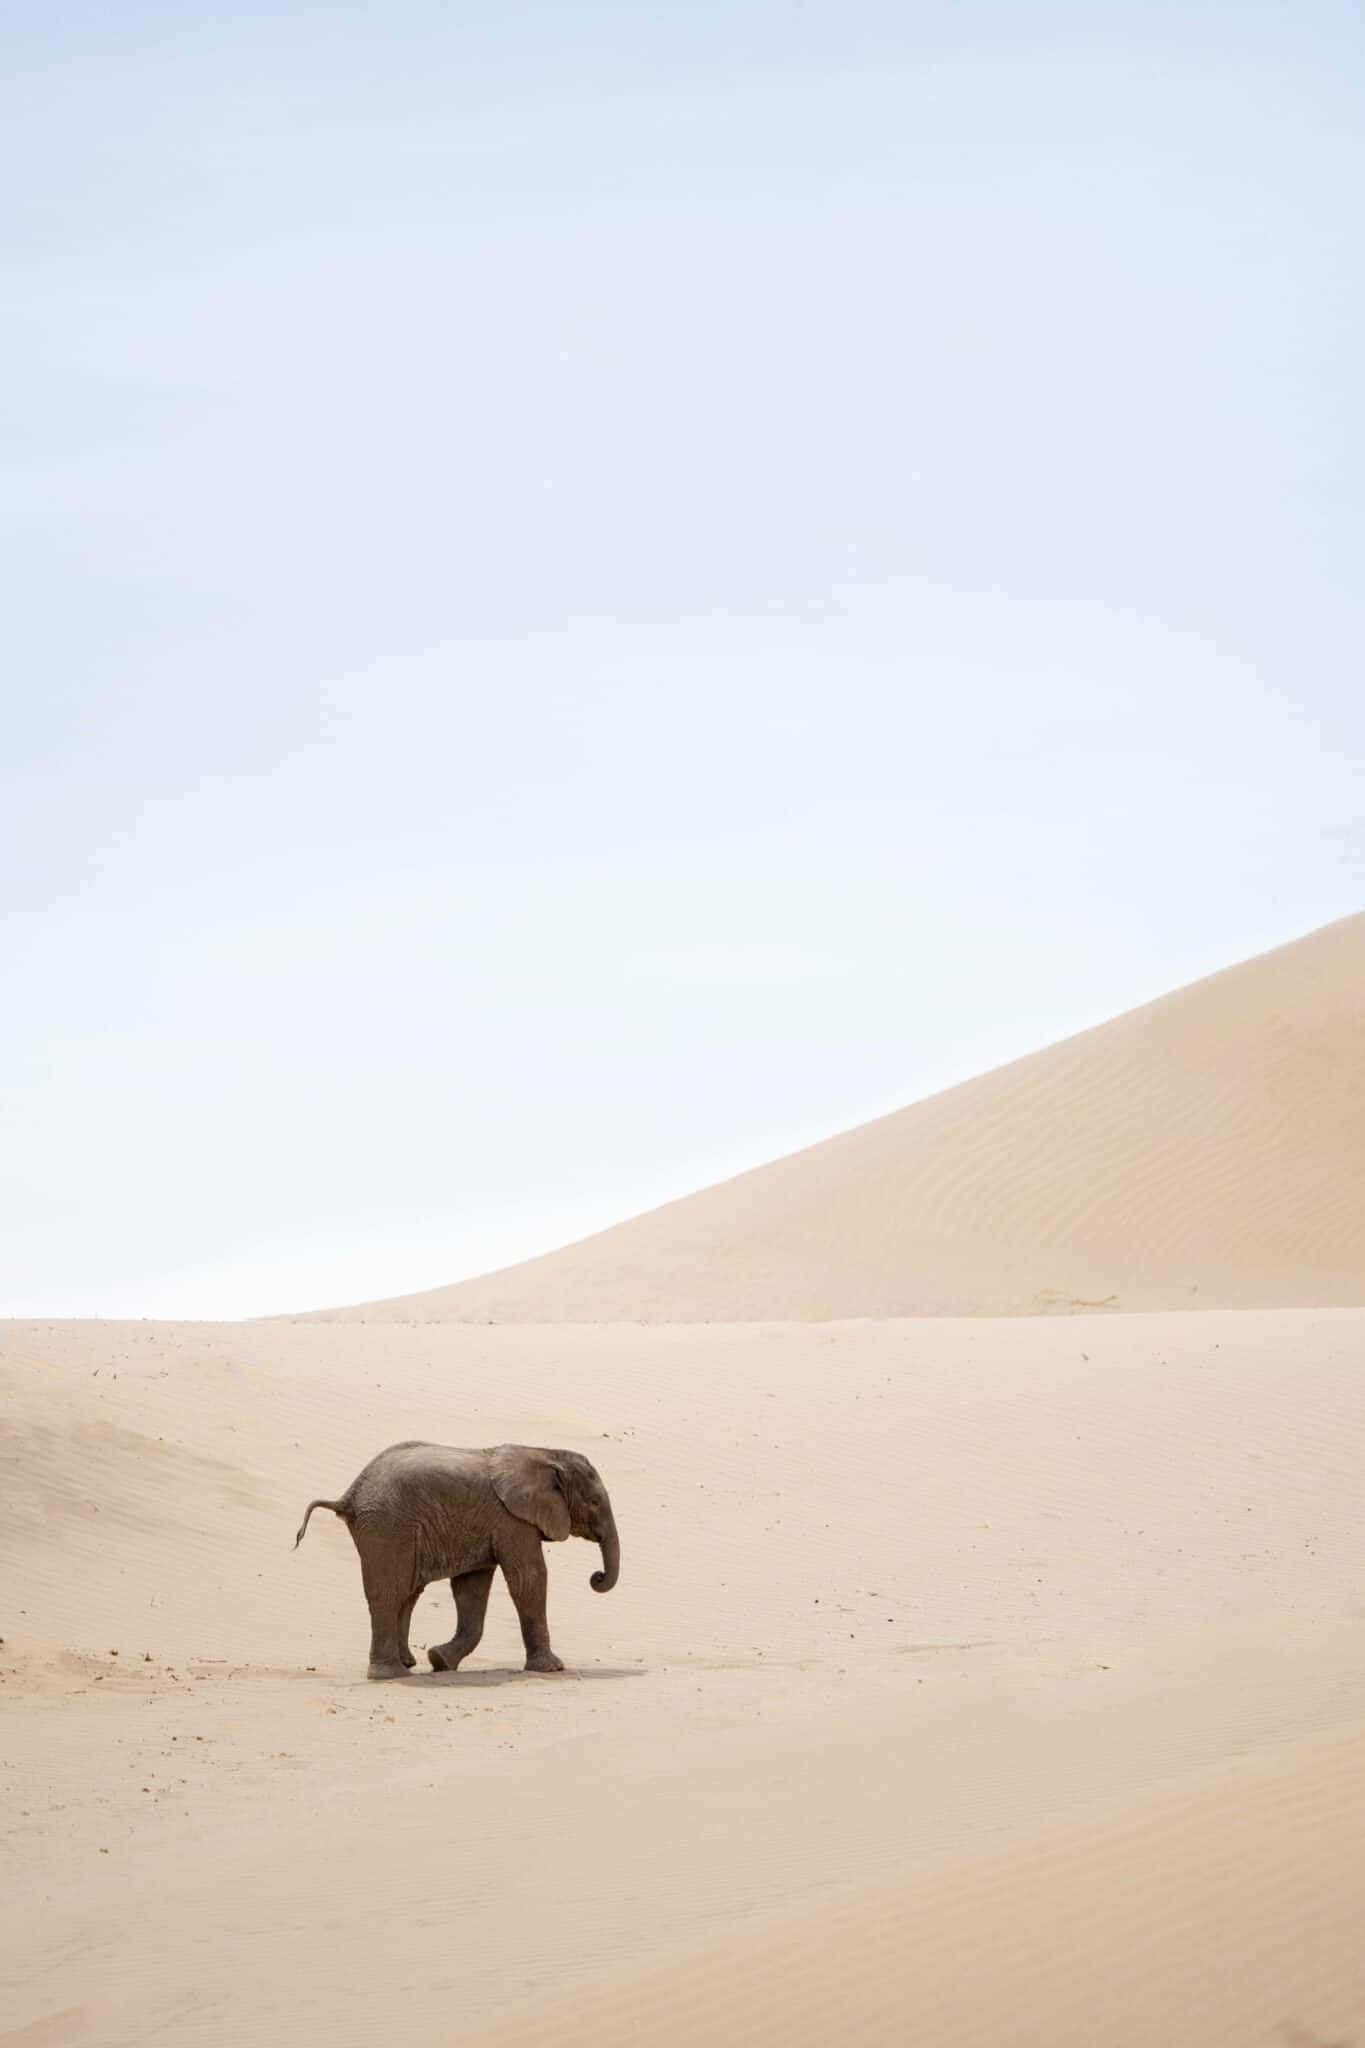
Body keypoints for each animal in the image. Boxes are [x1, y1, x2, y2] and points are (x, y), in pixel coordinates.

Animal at [294, 1440, 620, 1680]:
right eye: (594, 1503)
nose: (596, 1577)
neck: (546, 1453)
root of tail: (350, 1495)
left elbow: (471, 1588)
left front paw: (439, 1660)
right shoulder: (512, 1519)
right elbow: (529, 1578)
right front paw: (552, 1669)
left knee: (408, 1593)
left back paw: (408, 1664)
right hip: (387, 1525)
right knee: (389, 1593)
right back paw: (390, 1675)